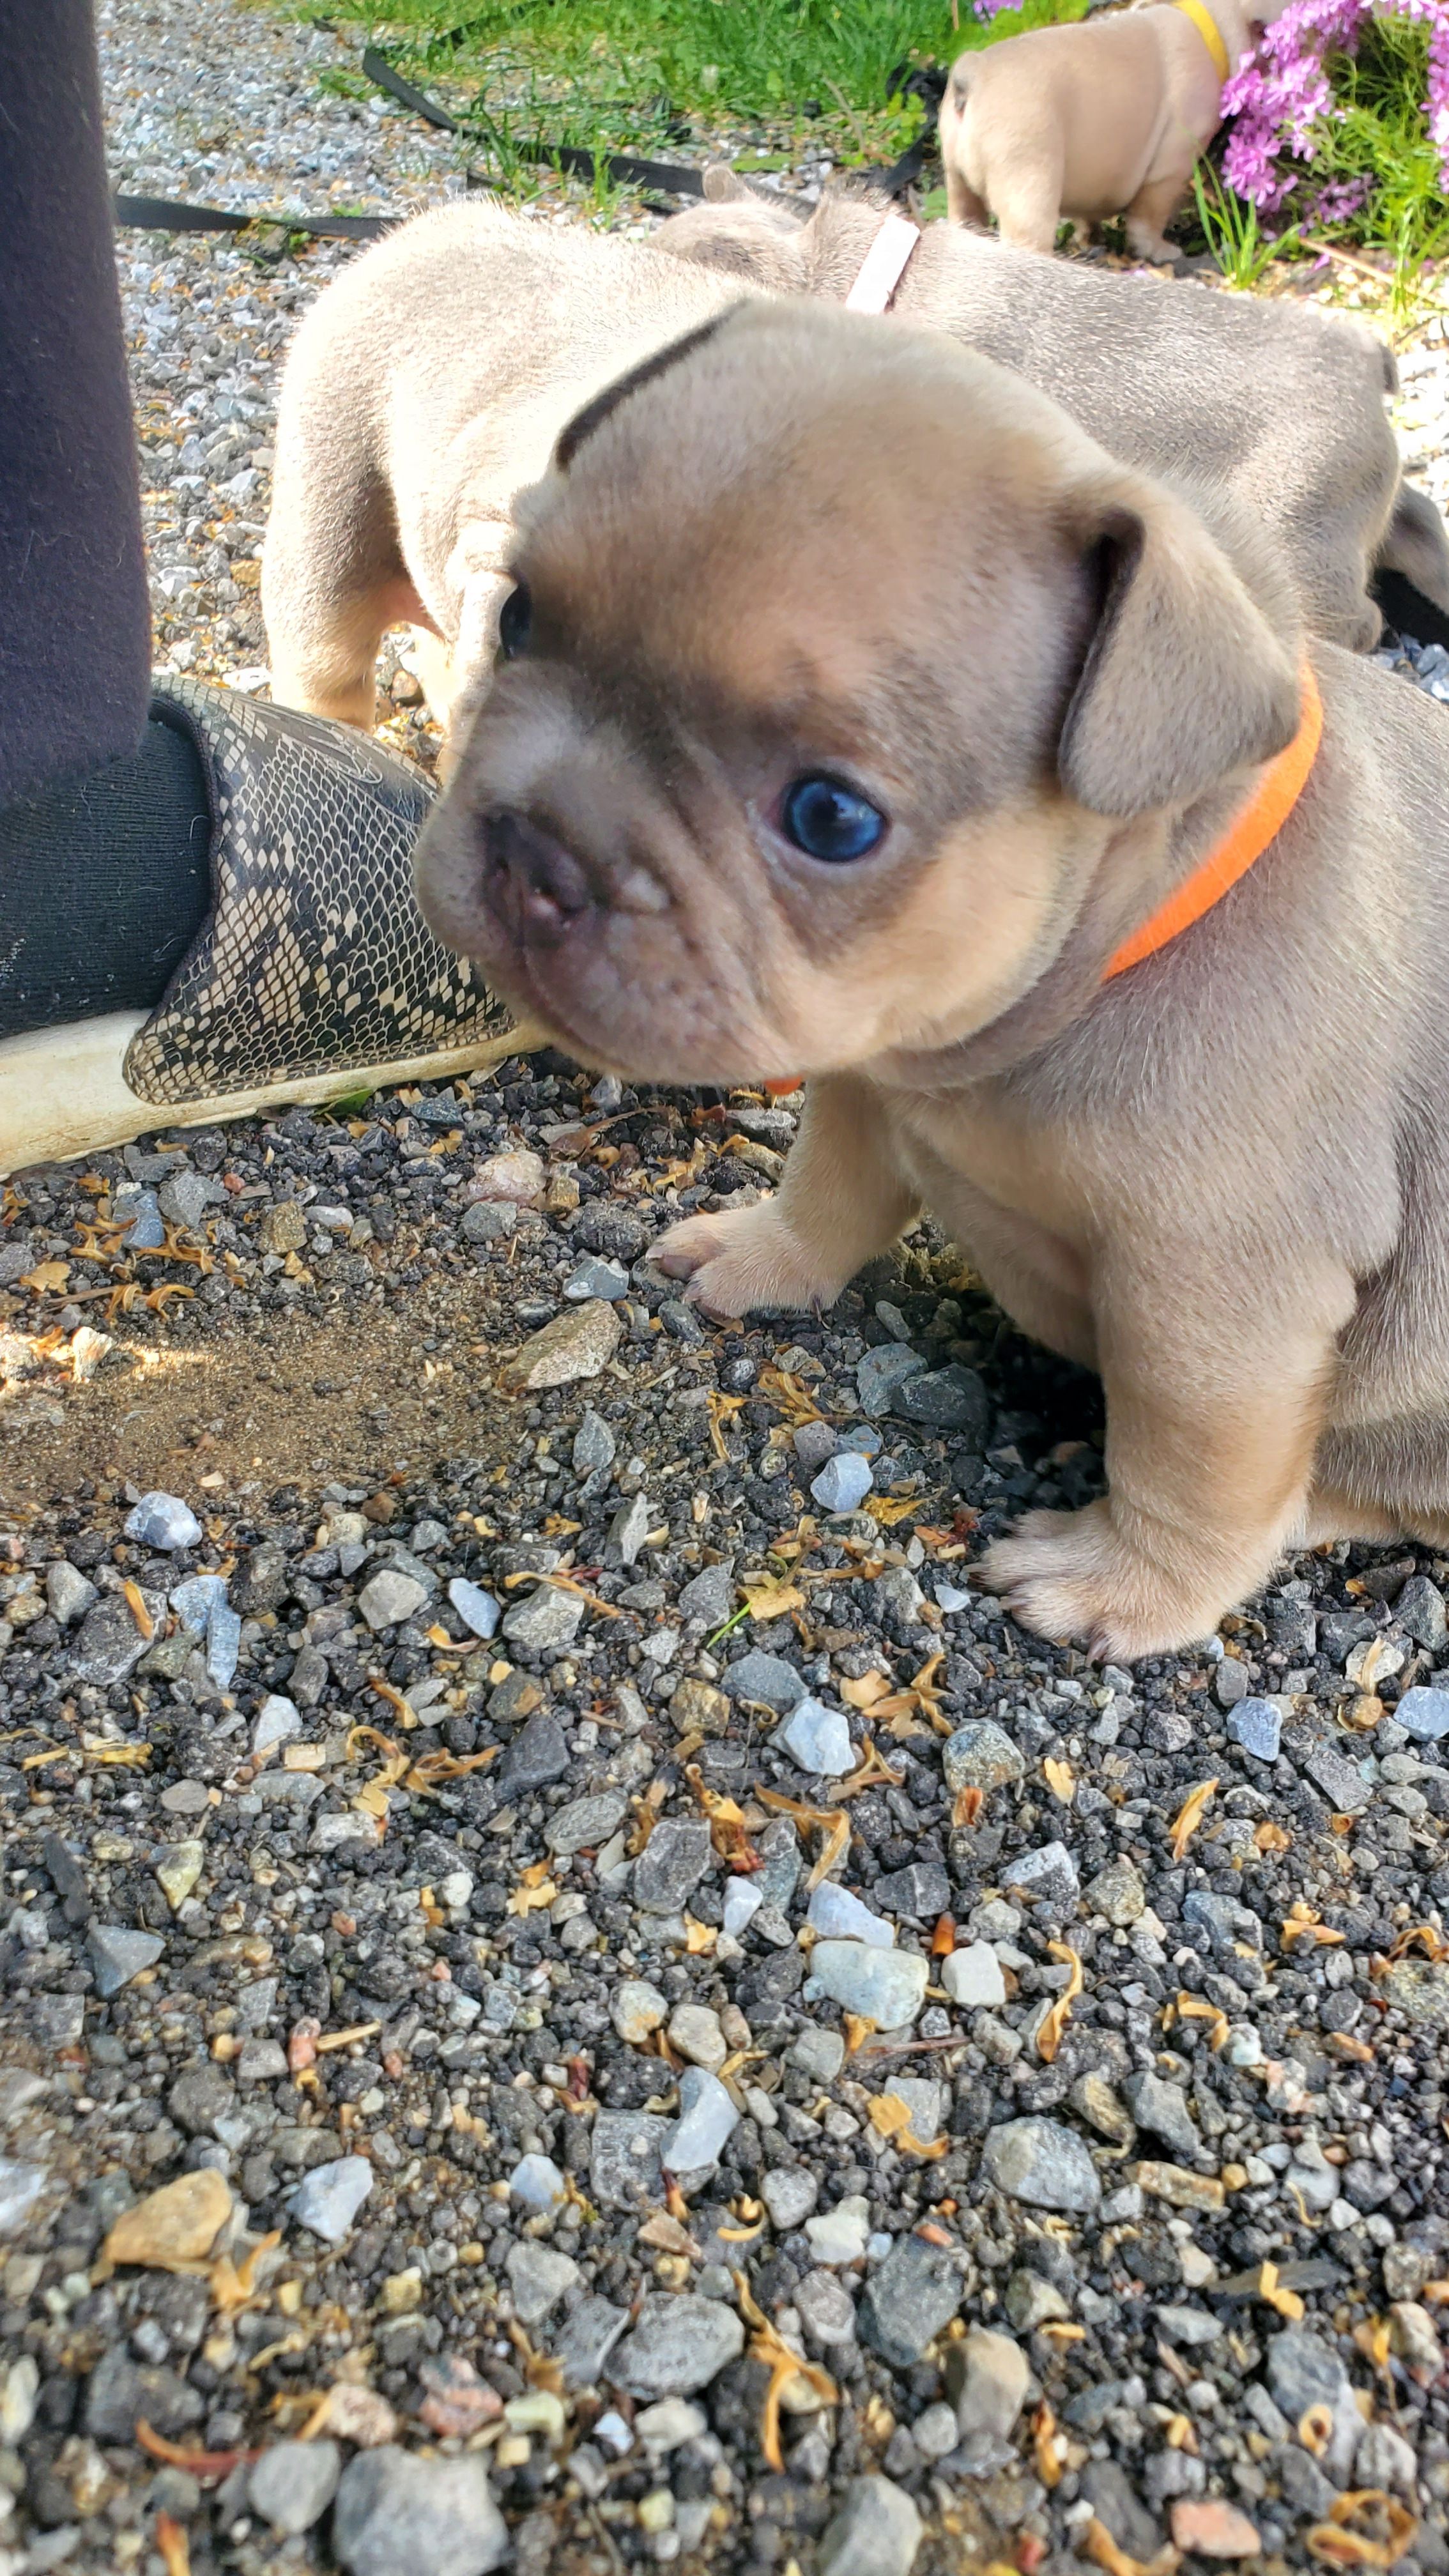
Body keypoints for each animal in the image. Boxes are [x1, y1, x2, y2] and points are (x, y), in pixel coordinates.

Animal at [415, 301, 1449, 1659]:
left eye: (830, 817)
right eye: (518, 618)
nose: (538, 852)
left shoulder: (1220, 1307)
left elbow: (1191, 1462)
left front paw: (1131, 1584)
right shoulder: (867, 1073)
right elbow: (827, 1188)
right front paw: (762, 1255)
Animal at [938, 0, 1263, 261]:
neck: (1215, 23)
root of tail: (973, 74)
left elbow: (1088, 216)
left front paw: (1091, 239)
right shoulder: (1169, 171)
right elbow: (1149, 218)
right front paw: (1159, 252)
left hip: (957, 181)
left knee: (965, 216)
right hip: (1027, 181)